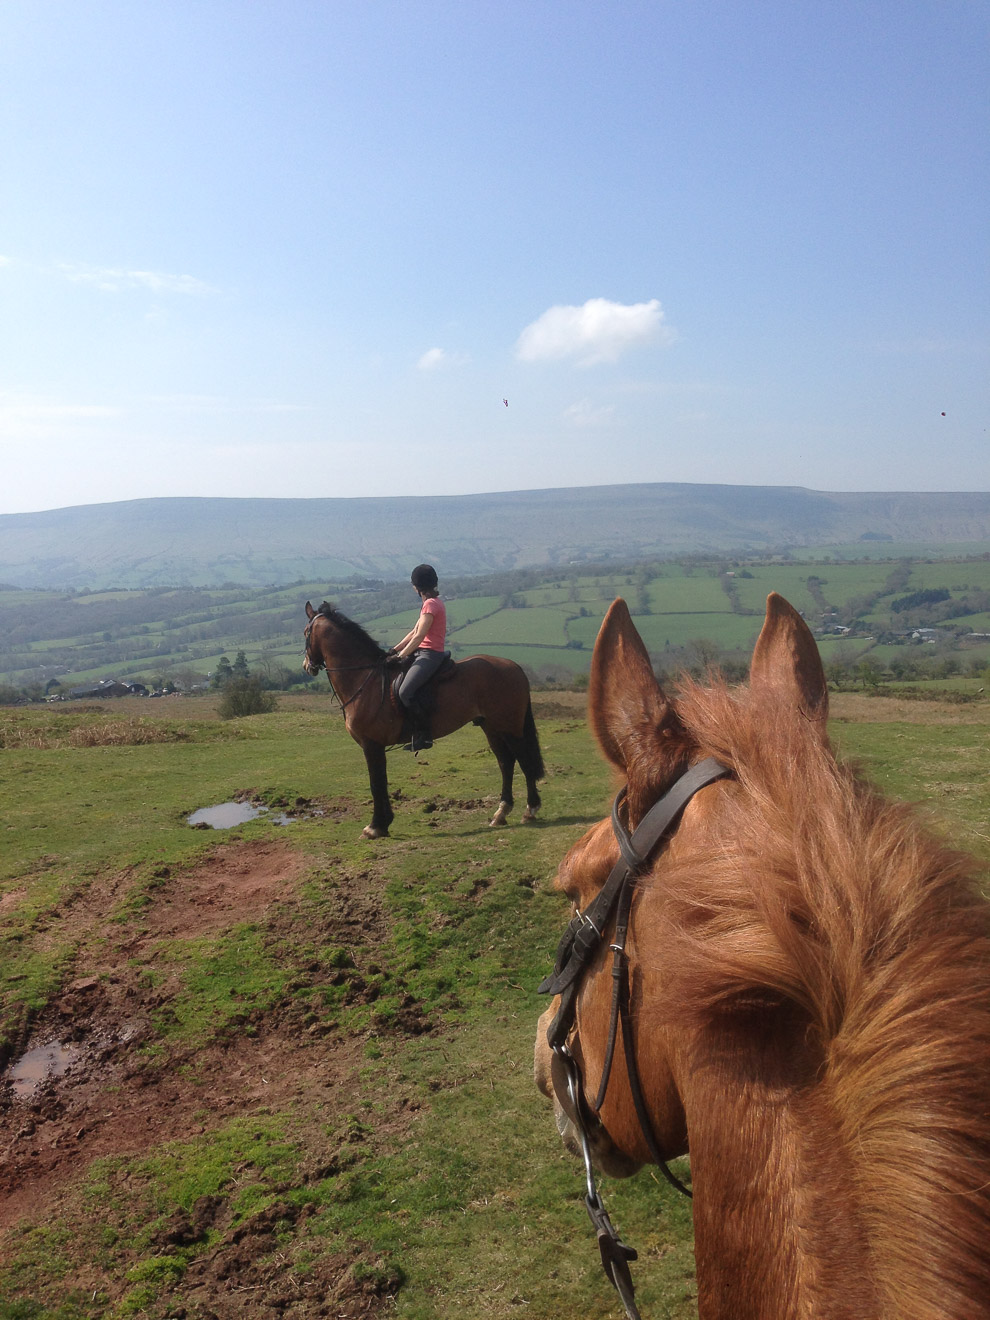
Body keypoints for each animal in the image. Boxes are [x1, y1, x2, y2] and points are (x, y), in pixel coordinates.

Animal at [306, 604, 546, 839]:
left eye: (306, 632)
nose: (308, 666)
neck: (366, 680)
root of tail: (514, 667)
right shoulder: (376, 746)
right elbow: (381, 782)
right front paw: (384, 824)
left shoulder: (371, 744)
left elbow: (376, 783)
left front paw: (374, 827)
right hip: (491, 727)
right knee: (506, 762)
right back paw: (501, 813)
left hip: (509, 727)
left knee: (523, 760)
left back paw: (530, 809)